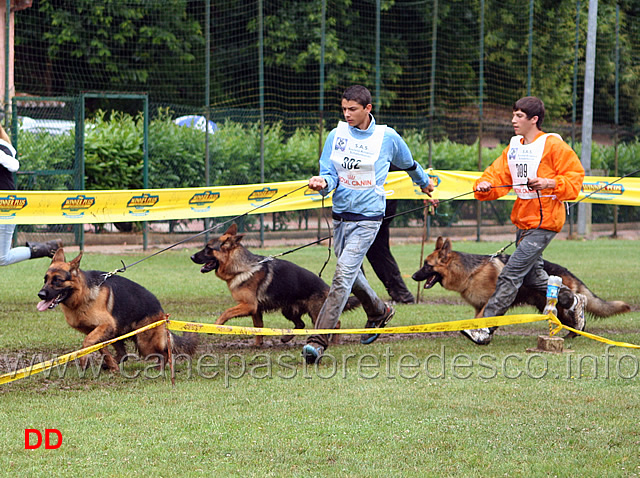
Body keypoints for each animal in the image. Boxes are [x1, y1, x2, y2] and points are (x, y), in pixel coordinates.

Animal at [37, 248, 198, 372]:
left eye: (57, 280)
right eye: (45, 279)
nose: (41, 295)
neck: (82, 295)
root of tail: (161, 311)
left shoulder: (105, 326)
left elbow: (87, 342)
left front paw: (84, 361)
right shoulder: (98, 331)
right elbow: (100, 348)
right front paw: (111, 365)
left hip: (145, 342)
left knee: (165, 354)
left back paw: (160, 369)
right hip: (118, 334)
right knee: (123, 354)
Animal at [190, 222, 360, 346]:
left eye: (208, 249)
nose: (191, 257)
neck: (241, 267)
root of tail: (326, 287)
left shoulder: (249, 306)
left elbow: (226, 312)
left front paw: (217, 325)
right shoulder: (255, 310)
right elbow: (258, 327)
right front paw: (258, 345)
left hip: (315, 313)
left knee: (336, 324)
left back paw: (334, 341)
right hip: (288, 310)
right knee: (301, 324)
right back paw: (286, 338)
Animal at [416, 236, 632, 328]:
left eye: (427, 265)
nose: (413, 276)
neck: (471, 272)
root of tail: (567, 272)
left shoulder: (488, 301)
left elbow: (484, 316)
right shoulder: (479, 305)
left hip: (559, 304)